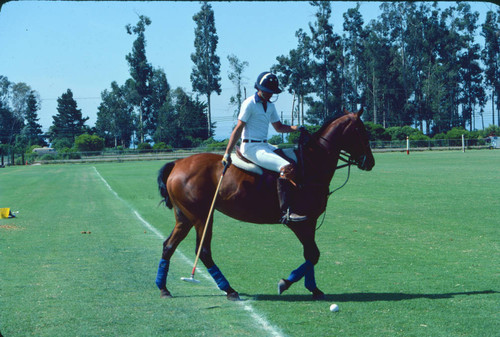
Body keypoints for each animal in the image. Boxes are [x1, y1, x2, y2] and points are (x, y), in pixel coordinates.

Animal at [154, 107, 374, 300]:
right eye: (361, 130)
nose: (370, 162)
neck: (312, 164)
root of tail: (176, 163)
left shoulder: (310, 221)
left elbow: (310, 255)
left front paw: (314, 289)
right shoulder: (300, 222)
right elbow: (313, 254)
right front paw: (285, 283)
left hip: (185, 216)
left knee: (168, 245)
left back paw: (163, 288)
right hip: (201, 216)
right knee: (204, 251)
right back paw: (229, 290)